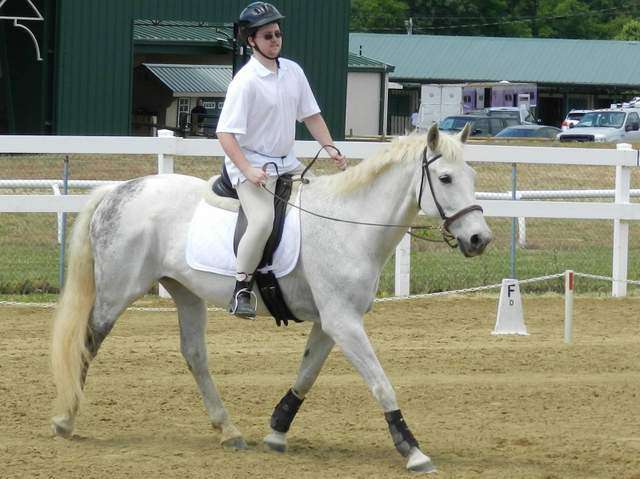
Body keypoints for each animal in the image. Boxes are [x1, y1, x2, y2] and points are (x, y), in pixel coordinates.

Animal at [51, 124, 490, 472]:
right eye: (446, 178)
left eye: (470, 174)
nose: (479, 239)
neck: (350, 224)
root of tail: (119, 190)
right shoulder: (343, 322)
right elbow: (381, 382)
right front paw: (412, 449)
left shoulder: (330, 323)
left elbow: (306, 375)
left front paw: (277, 431)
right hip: (117, 293)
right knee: (88, 344)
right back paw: (66, 419)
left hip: (185, 292)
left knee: (194, 355)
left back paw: (228, 430)